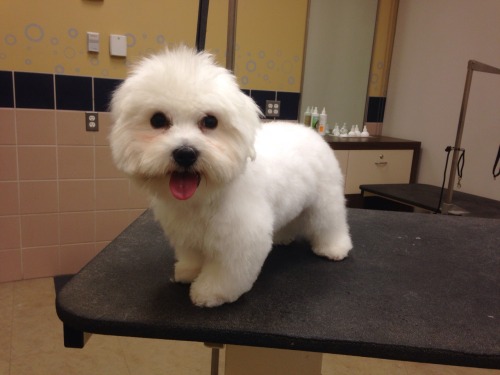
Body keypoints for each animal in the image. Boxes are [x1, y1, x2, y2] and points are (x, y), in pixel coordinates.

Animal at [109, 46, 352, 308]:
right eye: (158, 120)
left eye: (210, 121)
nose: (185, 153)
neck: (204, 197)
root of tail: (310, 131)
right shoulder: (187, 233)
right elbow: (193, 256)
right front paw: (189, 271)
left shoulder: (240, 238)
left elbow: (226, 273)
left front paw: (210, 292)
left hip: (325, 201)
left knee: (330, 223)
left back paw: (334, 248)